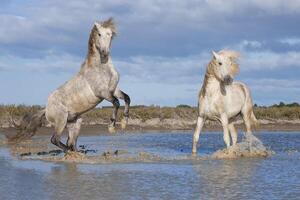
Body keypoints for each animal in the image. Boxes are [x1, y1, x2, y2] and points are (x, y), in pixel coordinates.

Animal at [10, 17, 130, 152]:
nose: (104, 53)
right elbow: (116, 102)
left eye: (110, 34)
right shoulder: (103, 92)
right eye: (99, 34)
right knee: (55, 140)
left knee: (71, 143)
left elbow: (126, 98)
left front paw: (124, 123)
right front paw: (111, 127)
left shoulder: (113, 90)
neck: (101, 68)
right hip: (61, 121)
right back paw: (70, 152)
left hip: (75, 123)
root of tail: (46, 109)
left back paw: (76, 153)